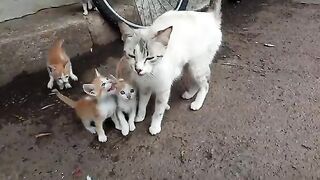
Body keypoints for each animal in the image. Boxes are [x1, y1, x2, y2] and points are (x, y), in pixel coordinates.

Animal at [119, 0, 221, 135]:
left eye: (149, 58)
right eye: (131, 56)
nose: (138, 69)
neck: (151, 73)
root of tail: (210, 16)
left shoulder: (163, 89)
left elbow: (158, 111)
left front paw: (155, 126)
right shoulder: (144, 87)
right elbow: (142, 103)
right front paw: (140, 116)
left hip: (196, 67)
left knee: (205, 85)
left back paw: (197, 103)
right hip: (188, 66)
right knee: (197, 82)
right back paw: (189, 94)